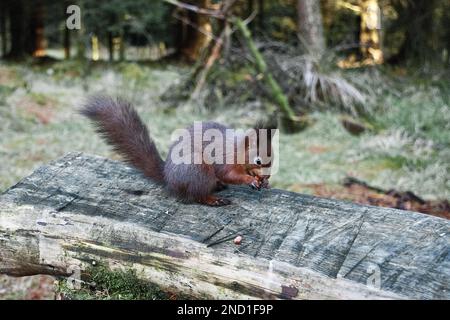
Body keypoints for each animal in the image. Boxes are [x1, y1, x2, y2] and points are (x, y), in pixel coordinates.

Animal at [82, 95, 276, 206]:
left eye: (272, 159)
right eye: (258, 160)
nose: (267, 176)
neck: (237, 149)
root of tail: (169, 179)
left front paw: (263, 182)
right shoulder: (224, 159)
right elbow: (230, 174)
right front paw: (250, 179)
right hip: (198, 170)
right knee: (197, 195)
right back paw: (214, 199)